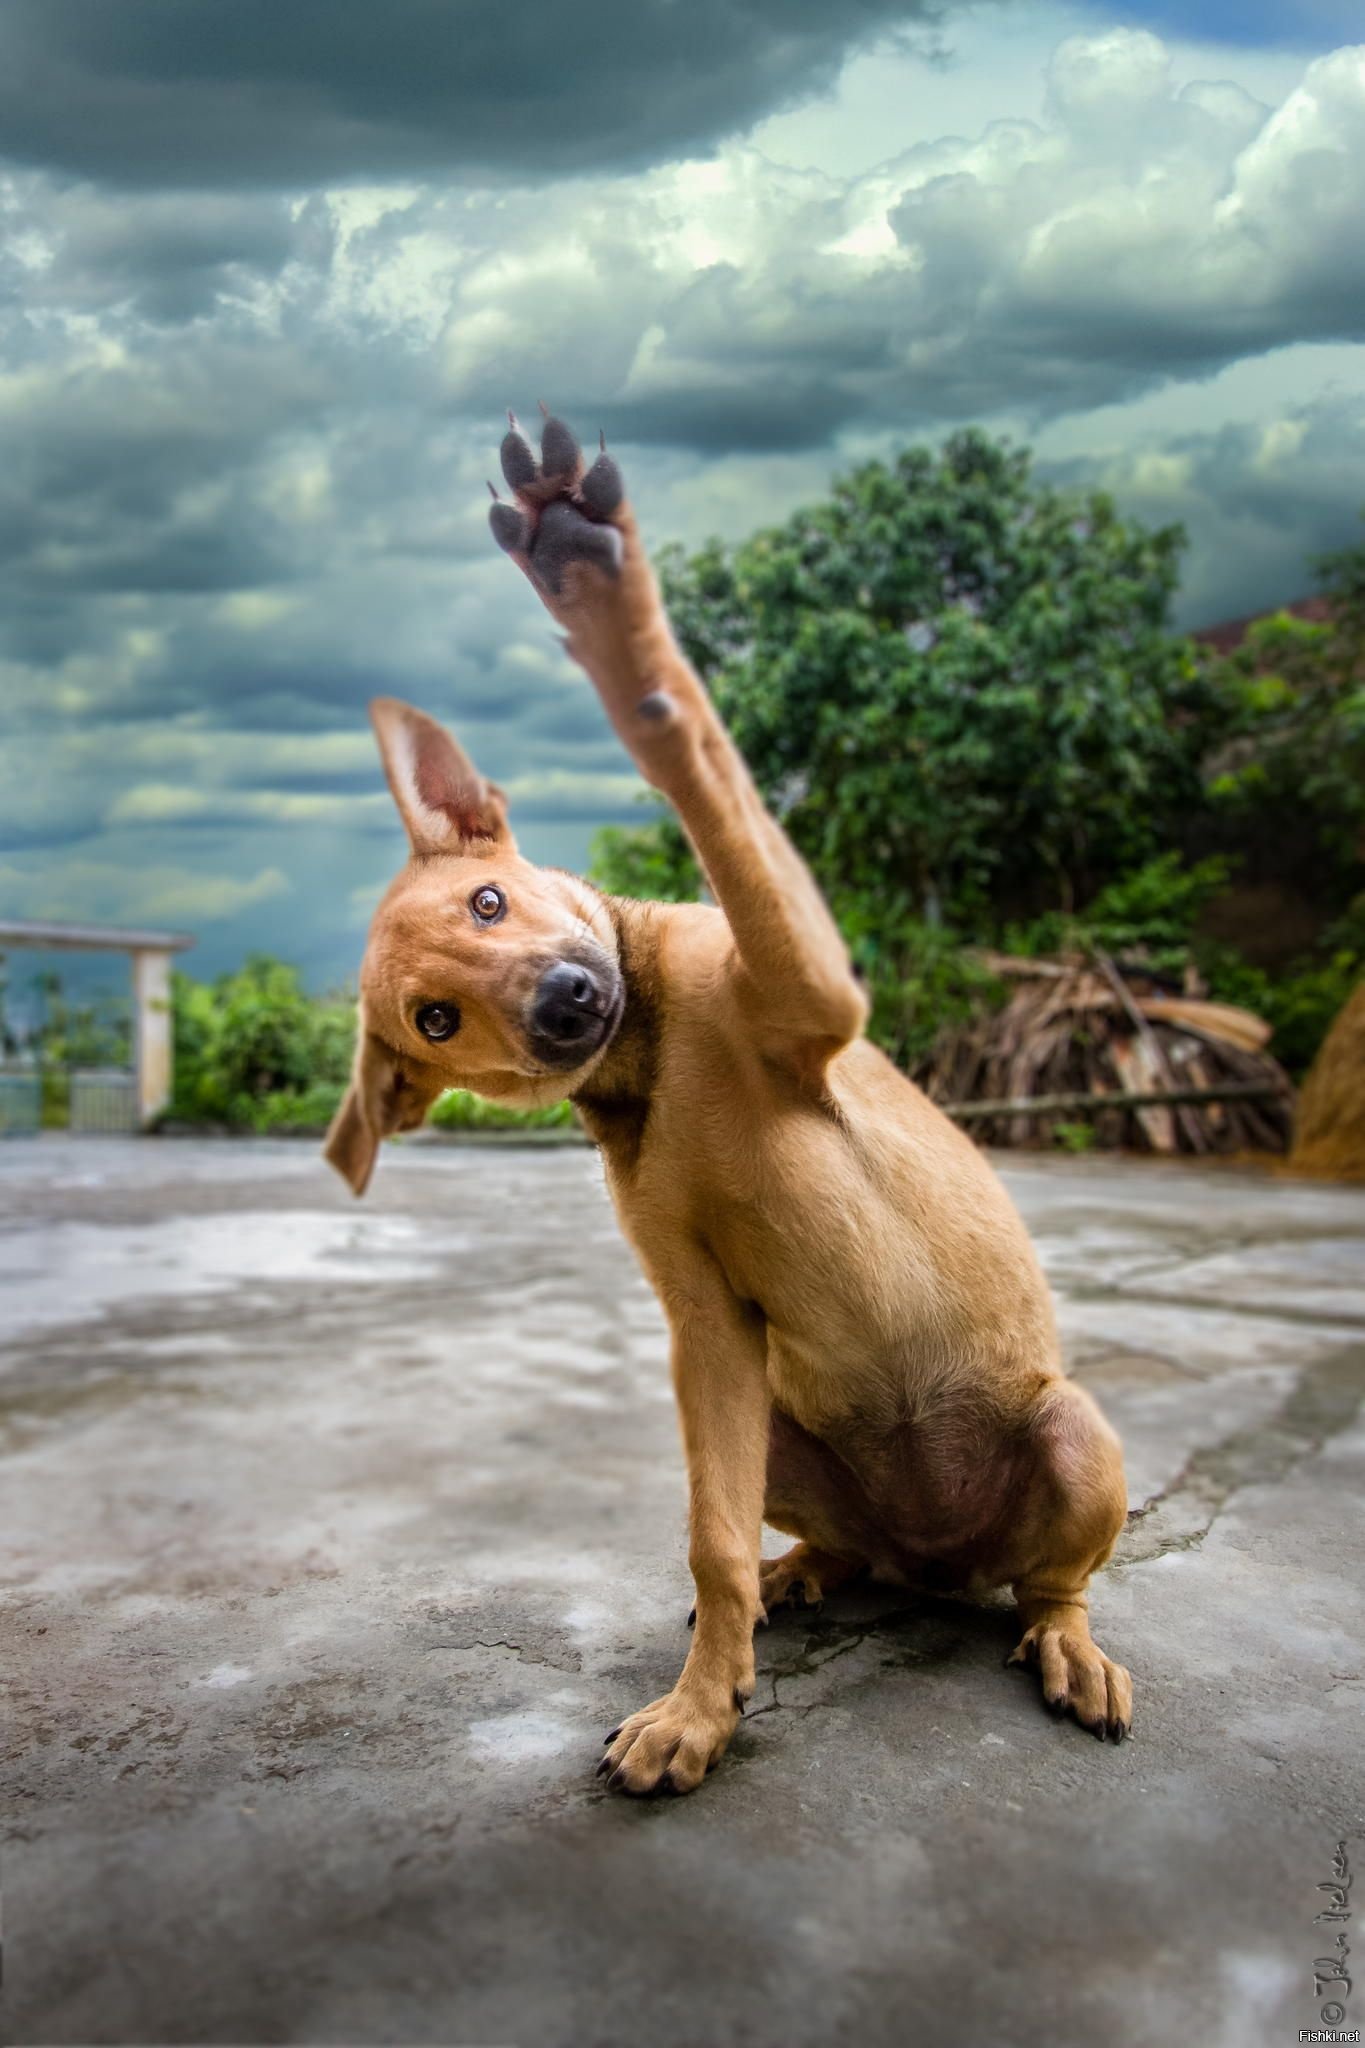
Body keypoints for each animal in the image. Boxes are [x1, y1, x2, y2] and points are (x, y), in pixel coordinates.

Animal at [325, 411, 1137, 1794]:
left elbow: (697, 756)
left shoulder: (807, 979)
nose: (565, 1001)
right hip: (787, 1434)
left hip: (1076, 1434)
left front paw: (596, 591)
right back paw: (799, 1573)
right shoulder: (707, 1326)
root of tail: (941, 1558)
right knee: (827, 1543)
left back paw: (1067, 1643)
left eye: (490, 899)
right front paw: (701, 1708)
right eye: (435, 1019)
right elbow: (705, 1535)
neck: (648, 1050)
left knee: (1051, 1584)